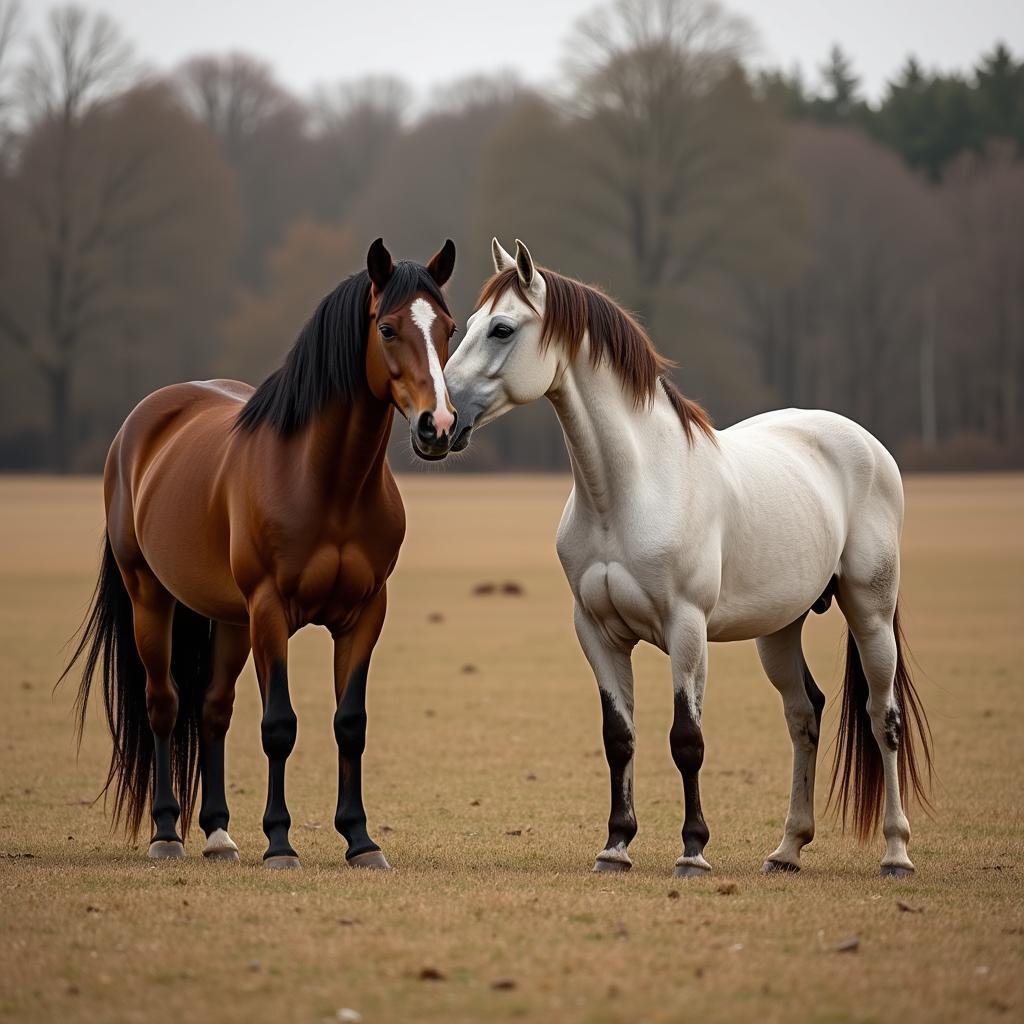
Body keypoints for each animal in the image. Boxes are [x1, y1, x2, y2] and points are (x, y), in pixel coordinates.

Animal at [65, 241, 460, 872]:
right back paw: (167, 834)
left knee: (213, 709)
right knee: (164, 704)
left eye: (449, 328)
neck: (327, 483)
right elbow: (279, 725)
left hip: (230, 620)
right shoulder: (271, 611)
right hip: (151, 598)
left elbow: (350, 724)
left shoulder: (365, 614)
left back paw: (219, 835)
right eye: (388, 327)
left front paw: (360, 841)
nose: (438, 426)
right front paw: (280, 842)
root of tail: (141, 425)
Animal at [444, 239, 933, 880]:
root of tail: (866, 444)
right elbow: (618, 736)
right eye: (467, 324)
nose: (436, 421)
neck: (628, 492)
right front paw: (615, 847)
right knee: (804, 715)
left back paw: (896, 853)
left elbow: (687, 739)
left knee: (884, 718)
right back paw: (787, 849)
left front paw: (693, 851)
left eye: (501, 329)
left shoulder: (687, 628)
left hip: (870, 613)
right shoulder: (596, 631)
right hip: (780, 628)